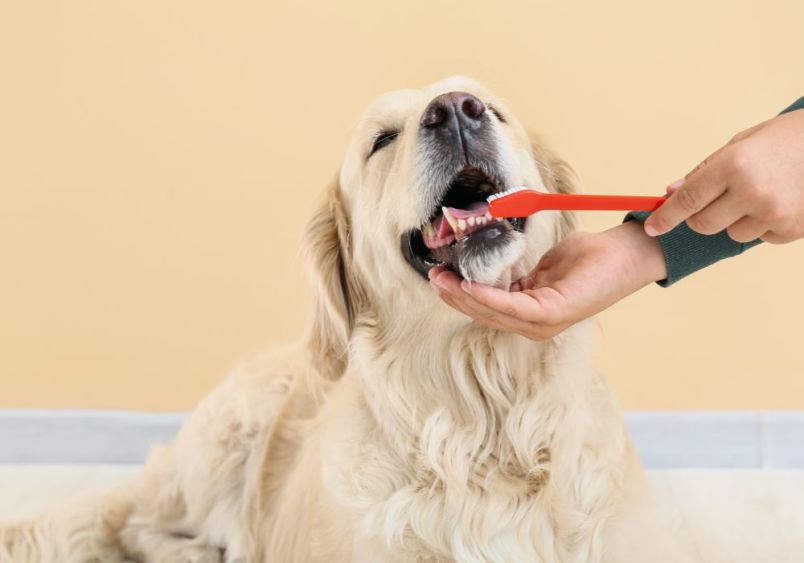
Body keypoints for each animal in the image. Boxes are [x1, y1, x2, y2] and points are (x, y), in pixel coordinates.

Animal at [0, 76, 684, 563]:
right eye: (382, 140)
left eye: (492, 107)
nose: (456, 110)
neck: (481, 414)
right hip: (228, 435)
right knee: (142, 525)